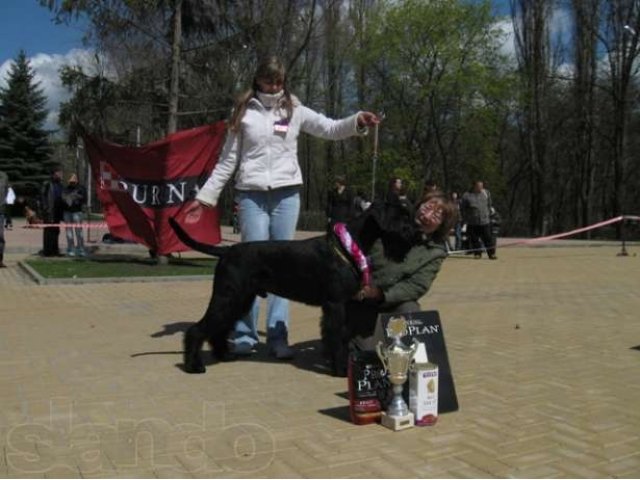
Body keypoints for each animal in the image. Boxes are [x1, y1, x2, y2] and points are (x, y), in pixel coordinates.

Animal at [168, 201, 416, 376]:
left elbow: (339, 335)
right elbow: (336, 335)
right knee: (198, 329)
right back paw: (193, 366)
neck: (347, 247)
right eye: (401, 216)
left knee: (220, 328)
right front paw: (340, 370)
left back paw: (223, 355)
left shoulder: (341, 304)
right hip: (228, 296)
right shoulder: (336, 304)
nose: (417, 232)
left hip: (239, 299)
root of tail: (226, 250)